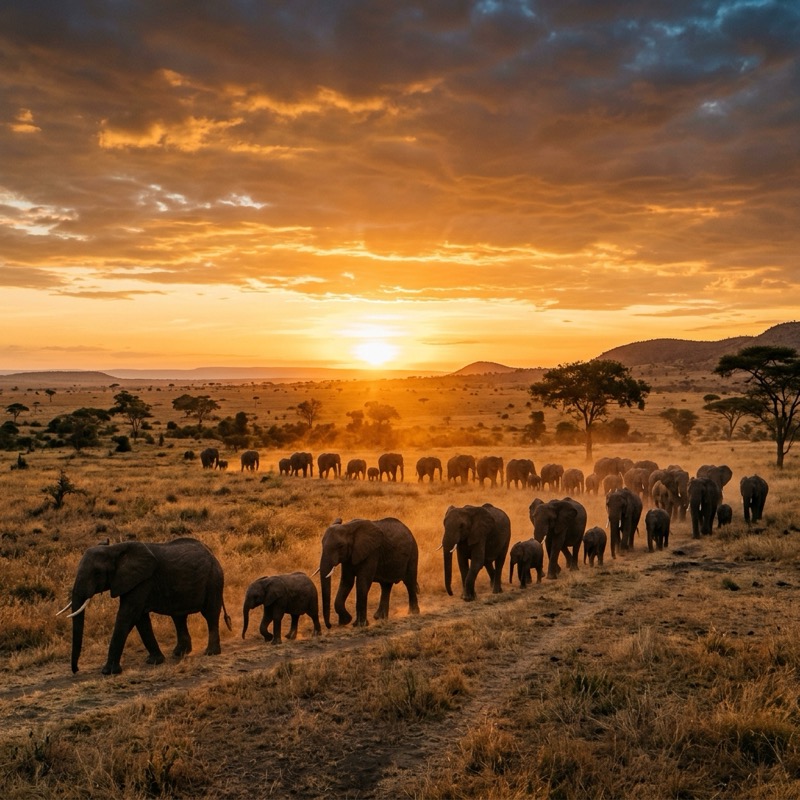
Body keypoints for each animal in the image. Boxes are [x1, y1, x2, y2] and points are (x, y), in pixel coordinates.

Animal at [62, 537, 231, 675]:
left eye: (97, 573)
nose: (76, 670)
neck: (114, 549)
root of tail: (212, 554)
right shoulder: (133, 582)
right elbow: (140, 619)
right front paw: (155, 662)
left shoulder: (143, 581)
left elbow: (127, 615)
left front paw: (108, 672)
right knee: (179, 617)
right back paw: (179, 653)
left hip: (214, 580)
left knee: (210, 614)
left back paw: (210, 653)